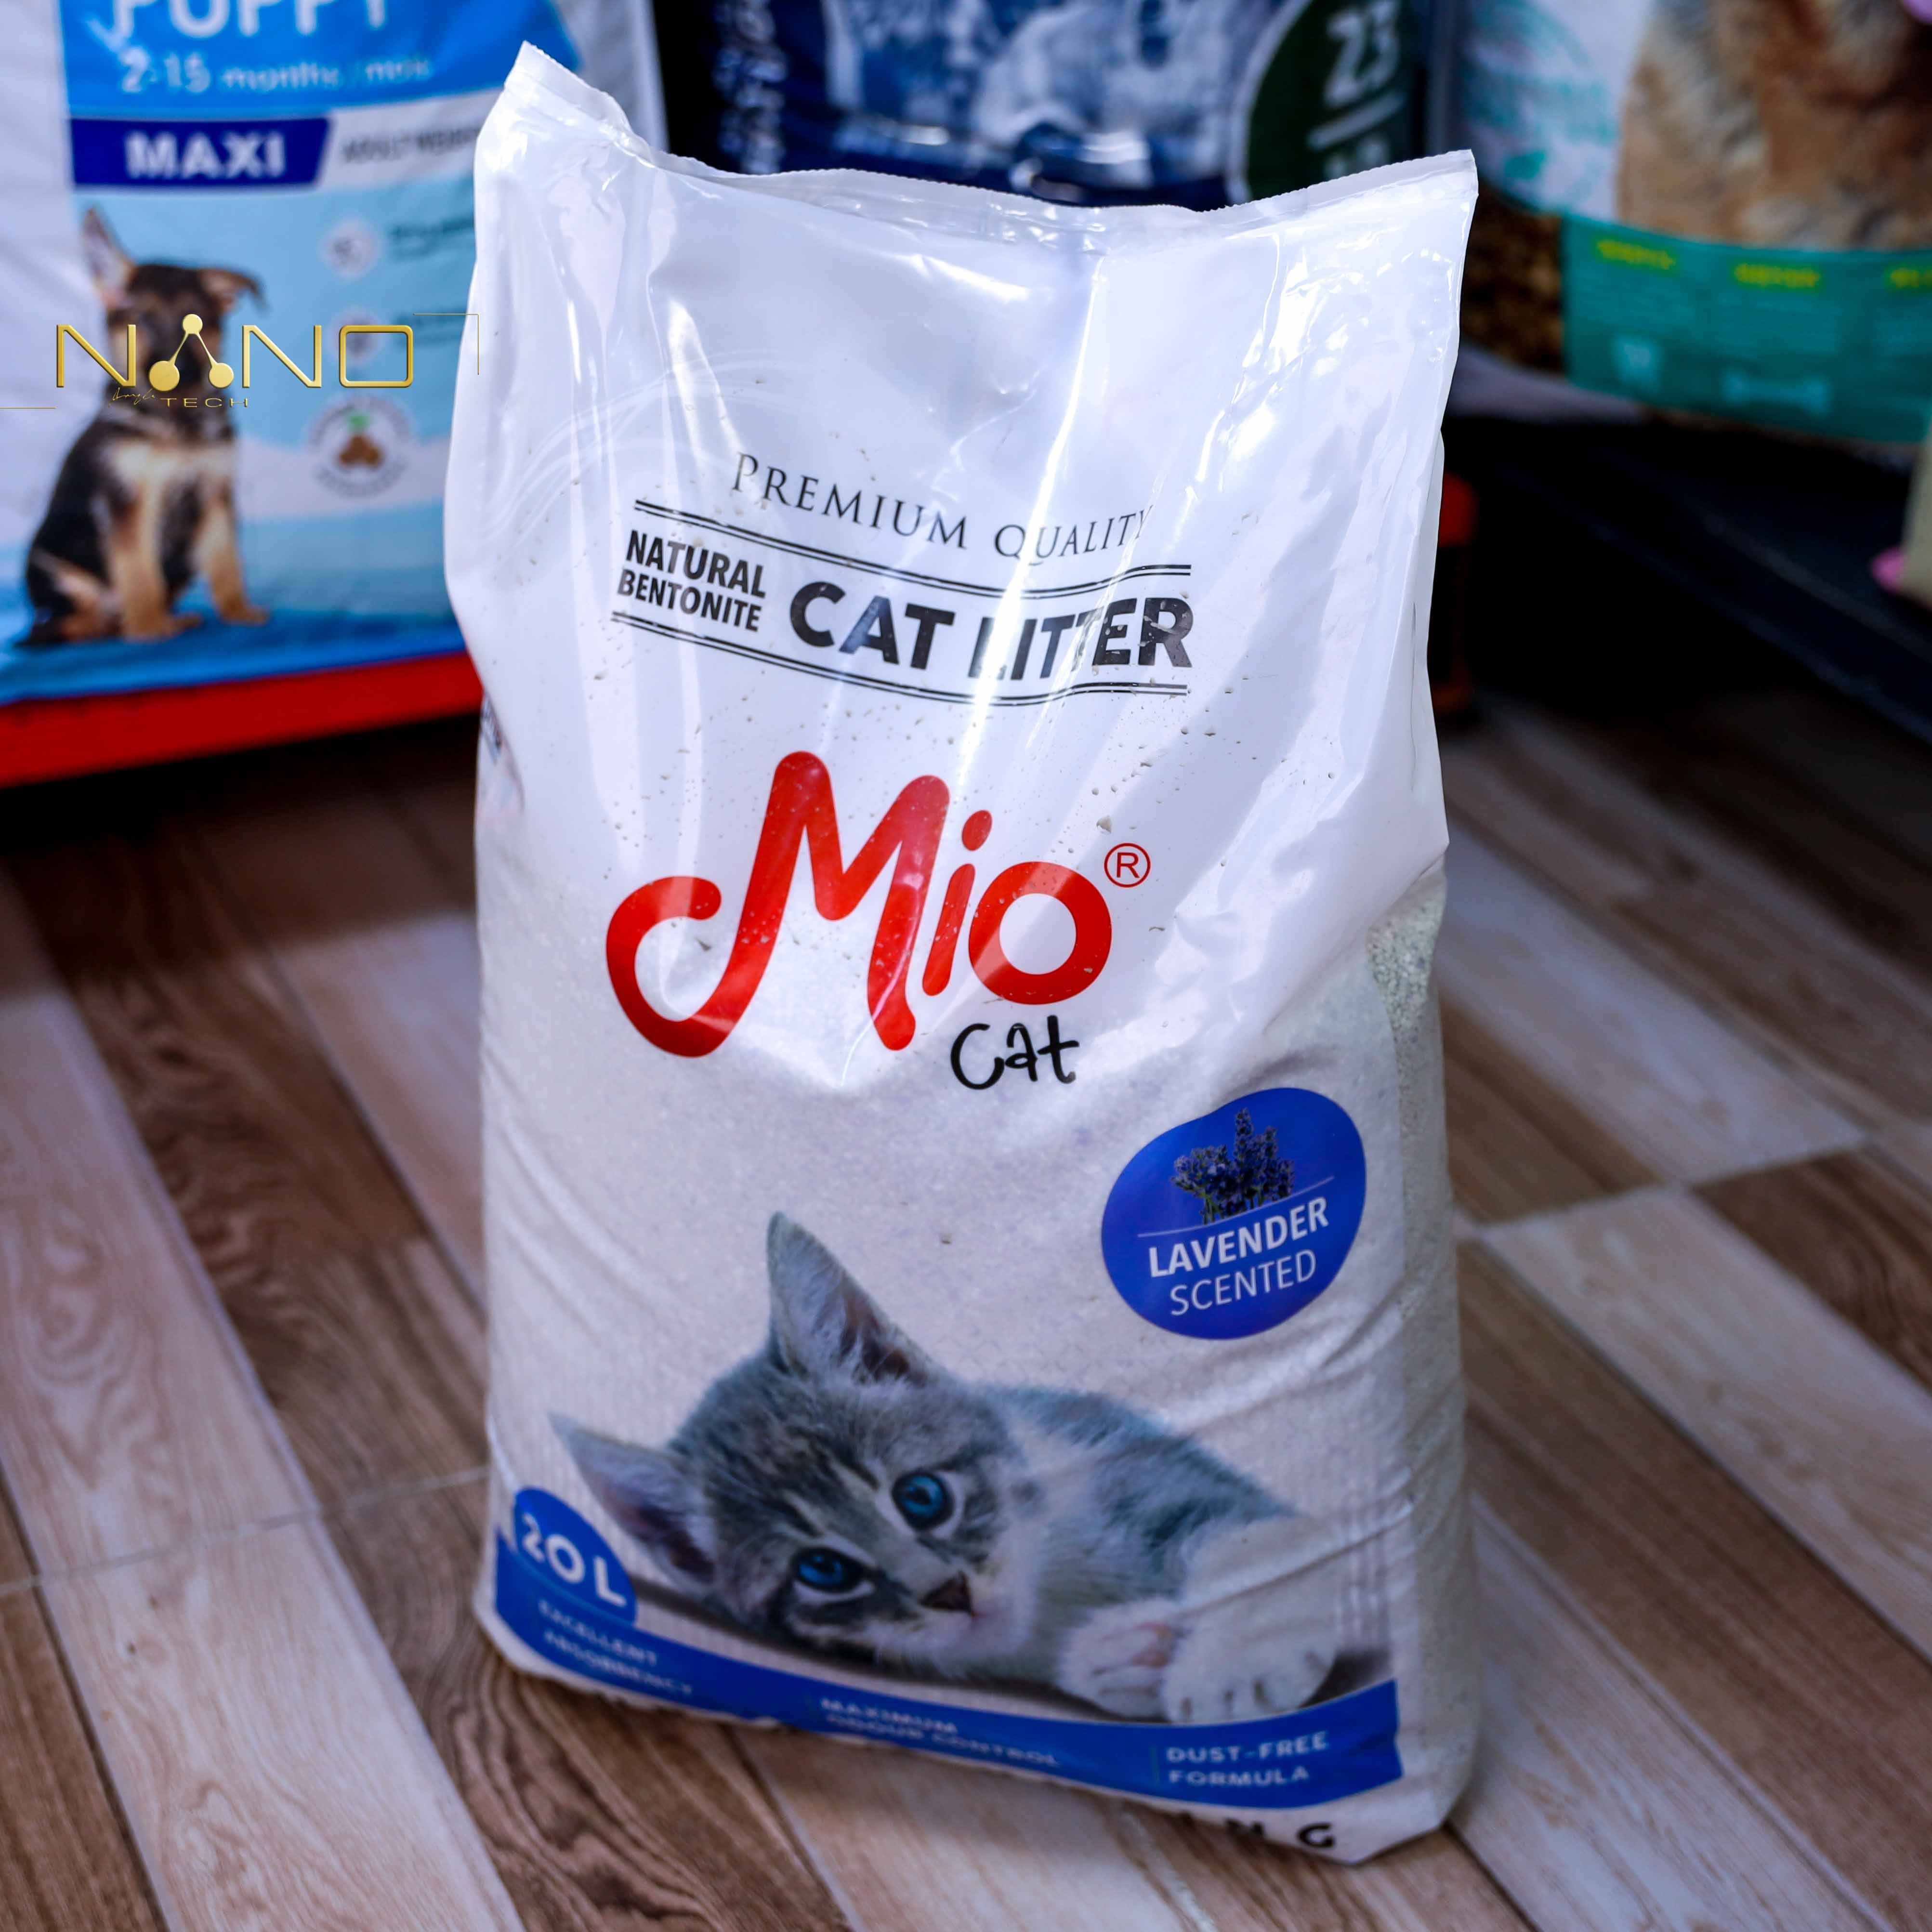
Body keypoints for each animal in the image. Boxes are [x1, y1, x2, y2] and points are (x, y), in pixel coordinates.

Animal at [24, 208, 268, 645]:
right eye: (141, 320)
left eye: (198, 322)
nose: (181, 371)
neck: (175, 417)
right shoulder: (129, 503)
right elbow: (138, 570)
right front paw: (149, 627)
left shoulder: (215, 493)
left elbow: (226, 560)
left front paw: (238, 610)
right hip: (49, 560)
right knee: (64, 621)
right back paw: (109, 624)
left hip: (184, 558)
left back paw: (168, 618)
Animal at [555, 1214, 1335, 1723]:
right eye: (823, 1570)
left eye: (921, 1496)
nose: (949, 1592)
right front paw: (1128, 1655)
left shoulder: (1145, 1467)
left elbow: (1257, 1542)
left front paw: (1235, 1659)